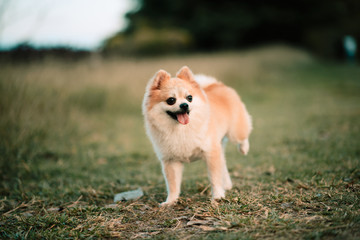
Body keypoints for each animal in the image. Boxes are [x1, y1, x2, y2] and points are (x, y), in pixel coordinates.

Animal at [142, 66, 252, 205]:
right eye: (171, 100)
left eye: (189, 98)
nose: (184, 105)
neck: (181, 130)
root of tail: (216, 84)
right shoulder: (171, 161)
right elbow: (173, 185)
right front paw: (170, 202)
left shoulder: (211, 153)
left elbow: (214, 178)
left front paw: (217, 196)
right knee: (224, 163)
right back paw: (227, 184)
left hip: (235, 131)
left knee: (243, 137)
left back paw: (244, 148)